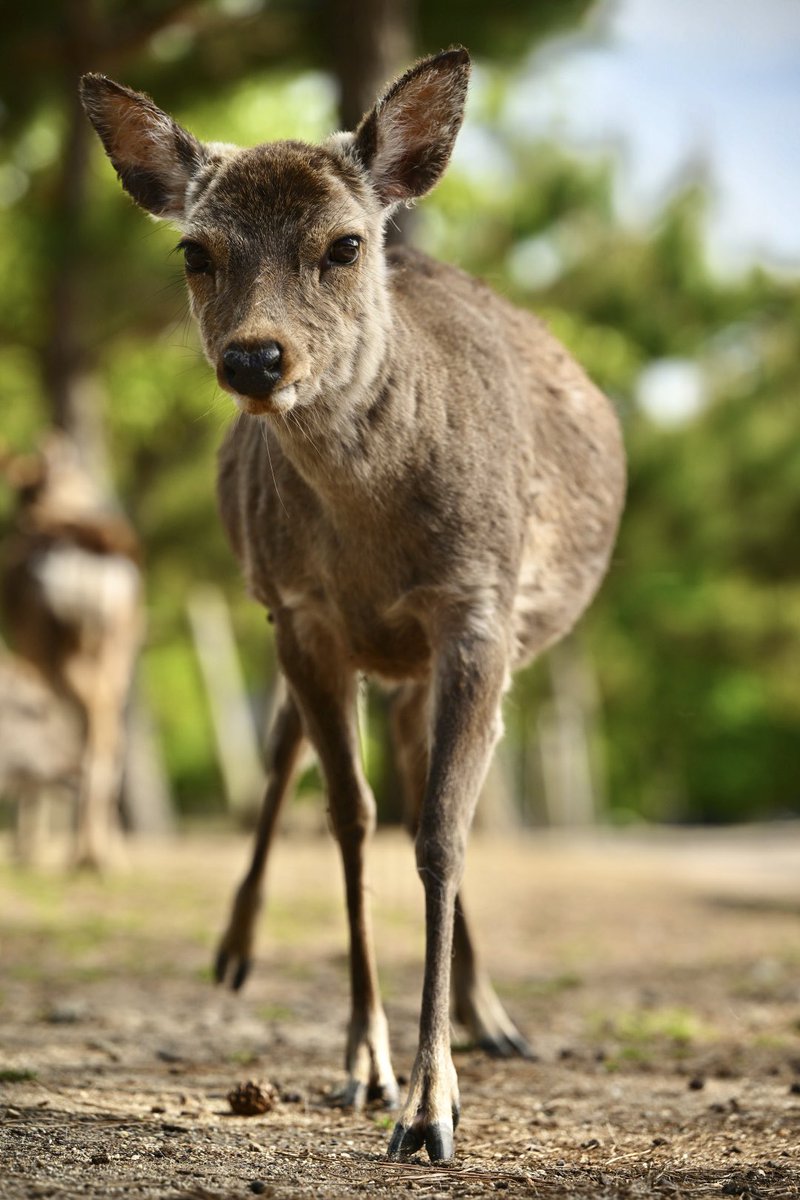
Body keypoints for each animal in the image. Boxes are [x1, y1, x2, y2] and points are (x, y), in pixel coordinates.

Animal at [80, 47, 625, 1161]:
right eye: (195, 251)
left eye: (342, 244)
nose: (253, 358)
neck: (375, 540)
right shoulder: (302, 613)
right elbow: (347, 818)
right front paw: (372, 1069)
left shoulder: (476, 606)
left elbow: (442, 832)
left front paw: (432, 1107)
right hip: (302, 627)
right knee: (293, 751)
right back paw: (239, 954)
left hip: (449, 649)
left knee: (422, 778)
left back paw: (491, 1017)